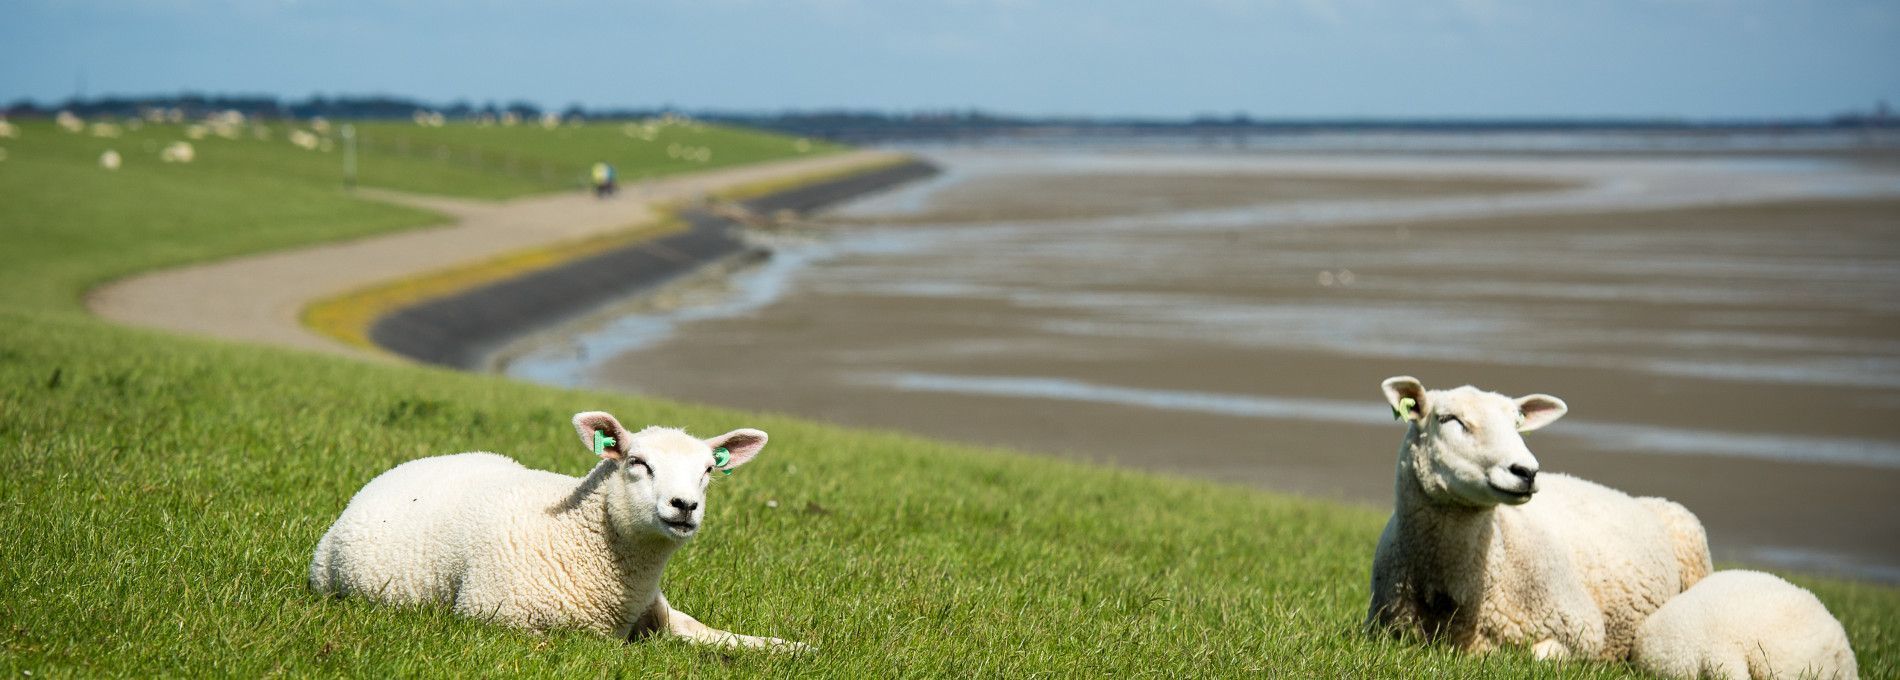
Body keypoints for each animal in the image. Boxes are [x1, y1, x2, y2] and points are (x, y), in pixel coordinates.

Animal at [305, 412, 809, 649]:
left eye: (708, 470)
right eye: (636, 462)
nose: (684, 506)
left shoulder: (657, 610)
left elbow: (709, 632)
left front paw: (791, 648)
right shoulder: (498, 619)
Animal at [1360, 374, 1717, 661]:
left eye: (1517, 424)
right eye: (1449, 419)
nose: (1526, 471)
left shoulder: (1584, 629)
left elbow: (1533, 656)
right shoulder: (1385, 631)